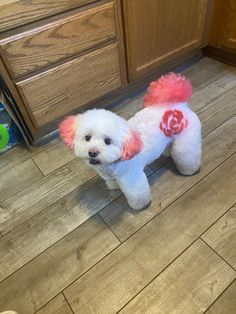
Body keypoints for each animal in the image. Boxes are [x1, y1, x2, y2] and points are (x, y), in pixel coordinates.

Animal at [59, 73, 201, 210]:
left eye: (108, 141)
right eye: (87, 137)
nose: (92, 152)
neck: (111, 164)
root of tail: (178, 105)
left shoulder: (132, 178)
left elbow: (137, 195)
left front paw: (139, 206)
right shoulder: (112, 177)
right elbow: (113, 183)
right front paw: (115, 187)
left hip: (186, 143)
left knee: (187, 156)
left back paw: (189, 170)